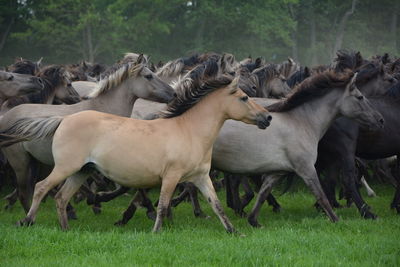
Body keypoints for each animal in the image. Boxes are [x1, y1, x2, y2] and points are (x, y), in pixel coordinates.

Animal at [0, 55, 175, 213]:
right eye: (149, 76)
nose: (173, 93)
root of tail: (7, 116)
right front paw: (98, 200)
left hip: (34, 162)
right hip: (21, 163)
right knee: (25, 193)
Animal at [6, 74, 274, 233]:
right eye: (244, 97)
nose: (268, 118)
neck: (189, 131)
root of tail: (63, 119)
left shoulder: (201, 178)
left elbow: (216, 205)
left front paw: (234, 231)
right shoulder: (171, 177)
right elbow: (163, 205)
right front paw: (156, 231)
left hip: (81, 171)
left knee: (61, 197)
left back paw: (65, 229)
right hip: (65, 167)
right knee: (40, 187)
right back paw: (26, 221)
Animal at [211, 69, 382, 228]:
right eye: (360, 97)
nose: (380, 119)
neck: (301, 122)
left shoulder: (277, 172)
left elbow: (263, 193)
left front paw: (254, 221)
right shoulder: (306, 169)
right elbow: (321, 195)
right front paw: (337, 219)